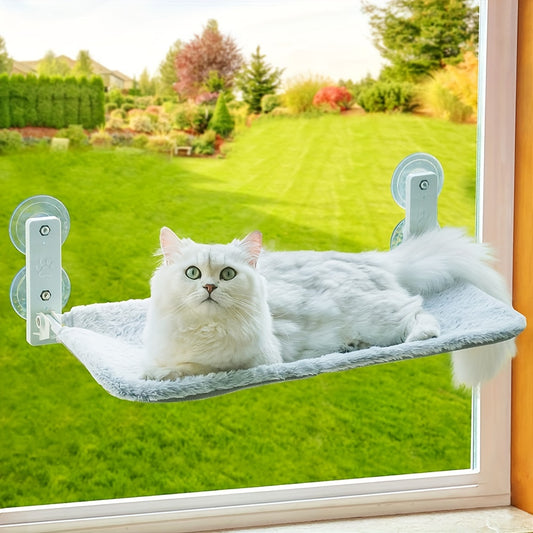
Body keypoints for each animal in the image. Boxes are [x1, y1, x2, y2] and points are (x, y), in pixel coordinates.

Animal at [140, 227, 512, 384]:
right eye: (192, 273)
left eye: (228, 274)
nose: (209, 286)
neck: (204, 328)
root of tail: (375, 259)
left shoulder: (251, 362)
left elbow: (194, 368)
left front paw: (155, 375)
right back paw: (353, 347)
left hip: (381, 315)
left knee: (420, 311)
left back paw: (418, 338)